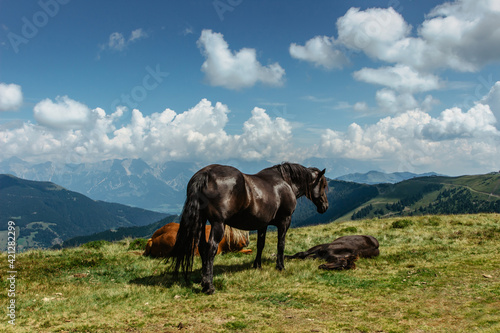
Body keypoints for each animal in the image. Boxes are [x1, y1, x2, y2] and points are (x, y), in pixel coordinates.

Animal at [170, 161, 330, 294]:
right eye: (323, 185)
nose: (325, 206)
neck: (286, 182)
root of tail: (206, 174)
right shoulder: (285, 220)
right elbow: (281, 244)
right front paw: (280, 266)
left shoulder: (262, 224)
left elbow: (260, 244)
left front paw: (257, 265)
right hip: (218, 223)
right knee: (210, 249)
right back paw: (209, 286)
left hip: (202, 221)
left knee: (202, 247)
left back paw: (204, 281)